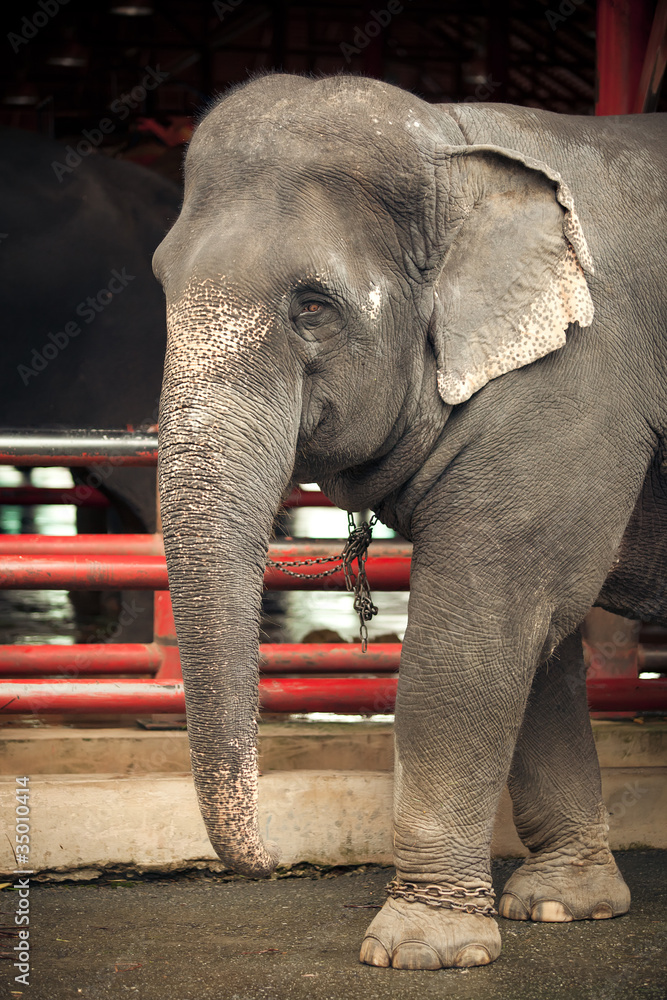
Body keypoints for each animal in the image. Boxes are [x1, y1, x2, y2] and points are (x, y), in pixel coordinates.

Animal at [153, 74, 667, 970]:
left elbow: (482, 624)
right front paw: (561, 907)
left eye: (313, 305)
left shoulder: (573, 382)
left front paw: (419, 950)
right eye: (157, 282)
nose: (272, 859)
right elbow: (537, 633)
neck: (454, 138)